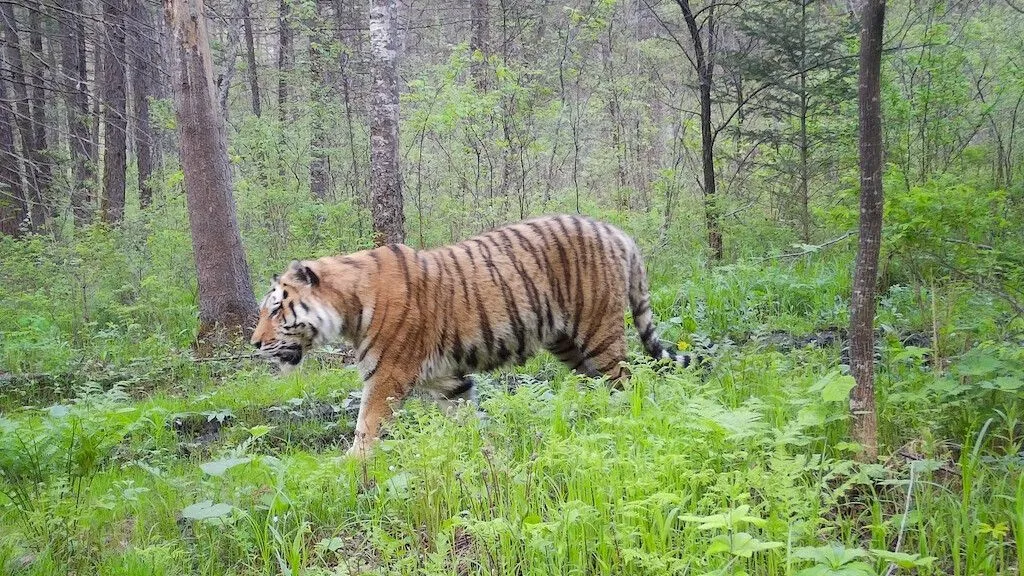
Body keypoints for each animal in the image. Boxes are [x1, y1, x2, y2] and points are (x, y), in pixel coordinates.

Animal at [250, 213, 692, 455]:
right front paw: (485, 453)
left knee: (627, 382)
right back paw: (587, 420)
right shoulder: (448, 381)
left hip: (599, 333)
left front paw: (348, 467)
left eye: (275, 308)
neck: (348, 306)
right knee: (598, 384)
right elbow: (469, 420)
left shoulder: (387, 376)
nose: (254, 344)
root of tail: (617, 232)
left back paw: (621, 422)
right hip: (568, 343)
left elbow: (366, 426)